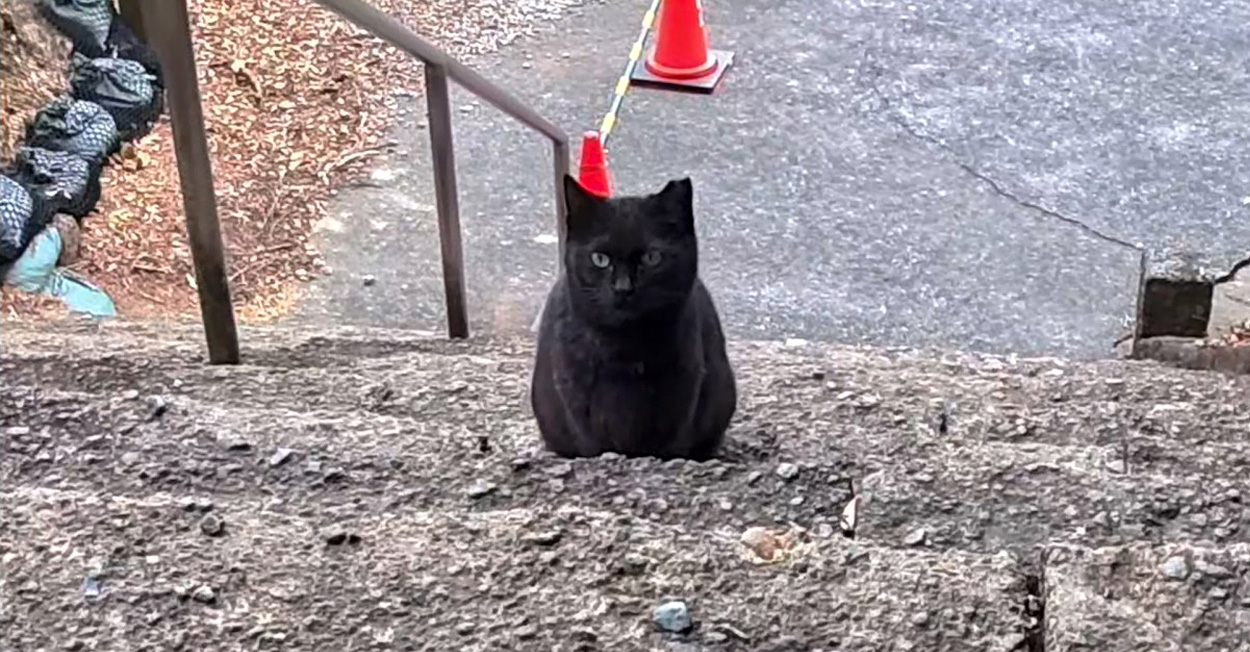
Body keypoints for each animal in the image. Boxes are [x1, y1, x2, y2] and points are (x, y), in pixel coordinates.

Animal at [529, 174, 737, 461]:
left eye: (652, 257)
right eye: (600, 258)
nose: (623, 288)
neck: (625, 349)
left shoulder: (683, 392)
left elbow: (670, 445)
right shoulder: (579, 405)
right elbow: (595, 446)